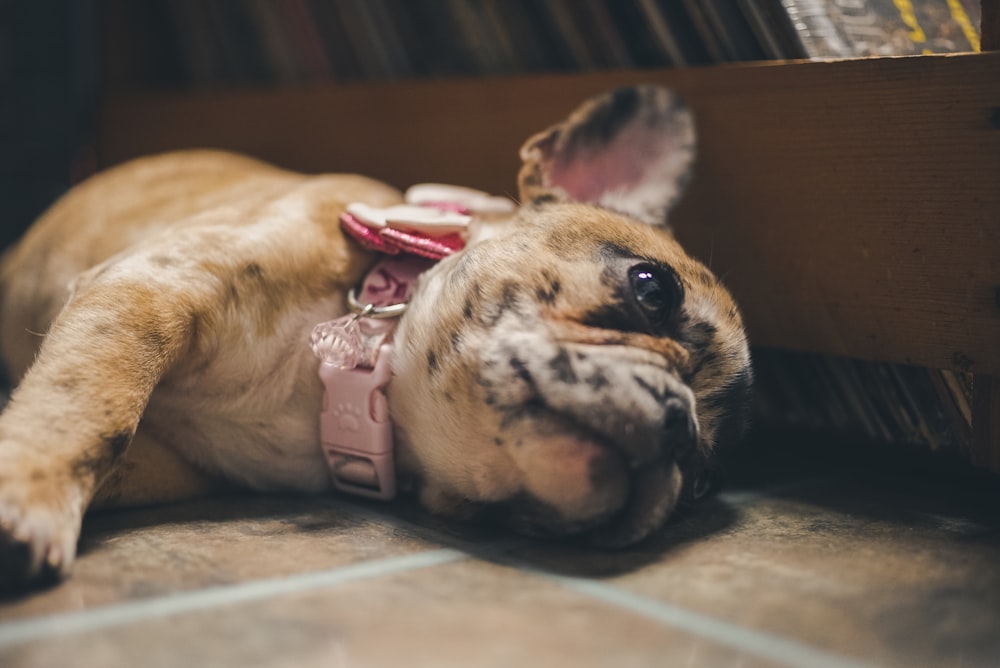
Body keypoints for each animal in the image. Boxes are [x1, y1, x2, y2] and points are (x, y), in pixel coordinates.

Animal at [0, 85, 752, 588]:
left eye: (701, 481)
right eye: (652, 288)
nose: (679, 425)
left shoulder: (166, 456)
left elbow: (102, 436)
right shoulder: (152, 288)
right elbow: (90, 408)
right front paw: (30, 492)